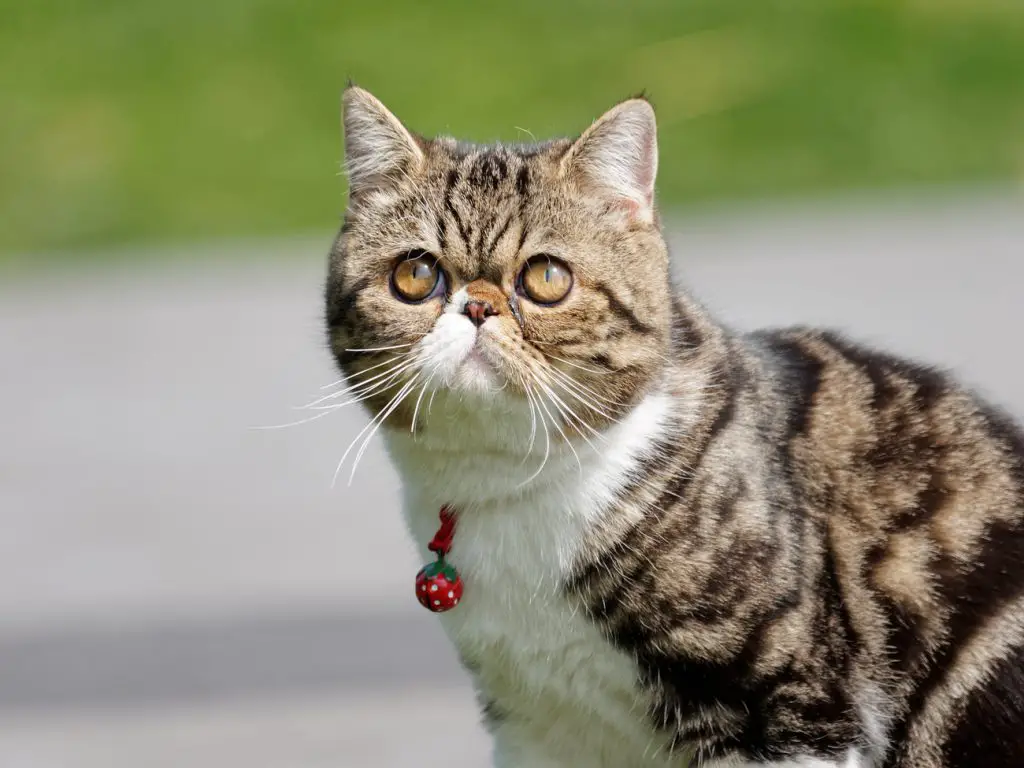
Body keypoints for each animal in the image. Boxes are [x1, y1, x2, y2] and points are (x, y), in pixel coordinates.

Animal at [323, 87, 1024, 765]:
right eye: (416, 275)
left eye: (546, 277)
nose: (476, 307)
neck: (510, 485)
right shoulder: (535, 725)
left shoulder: (782, 708)